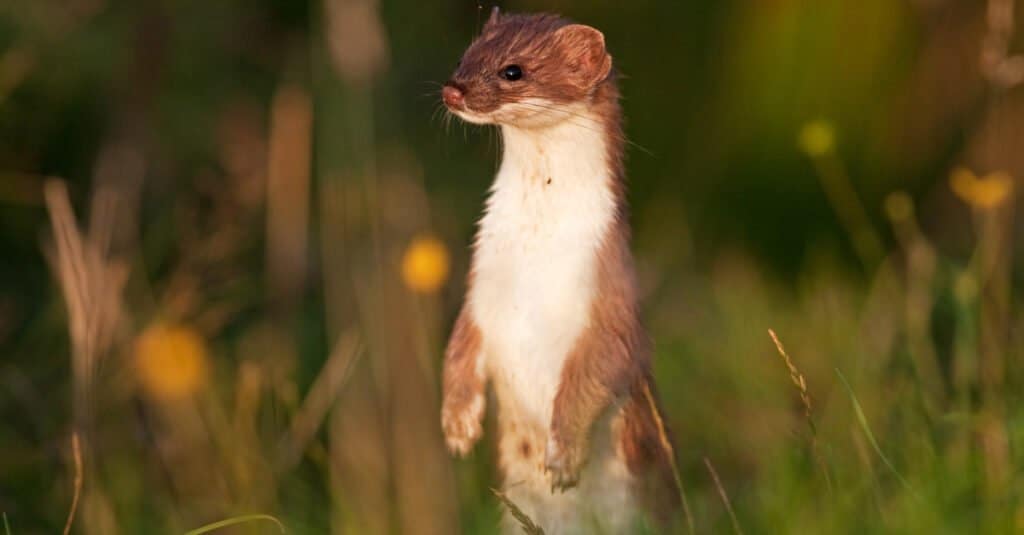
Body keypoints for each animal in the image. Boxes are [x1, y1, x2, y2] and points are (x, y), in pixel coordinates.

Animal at [440, 9, 679, 532]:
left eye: (513, 70)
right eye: (467, 53)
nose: (452, 89)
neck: (533, 253)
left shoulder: (609, 294)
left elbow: (598, 366)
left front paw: (564, 456)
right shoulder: (483, 283)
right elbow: (459, 346)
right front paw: (458, 423)